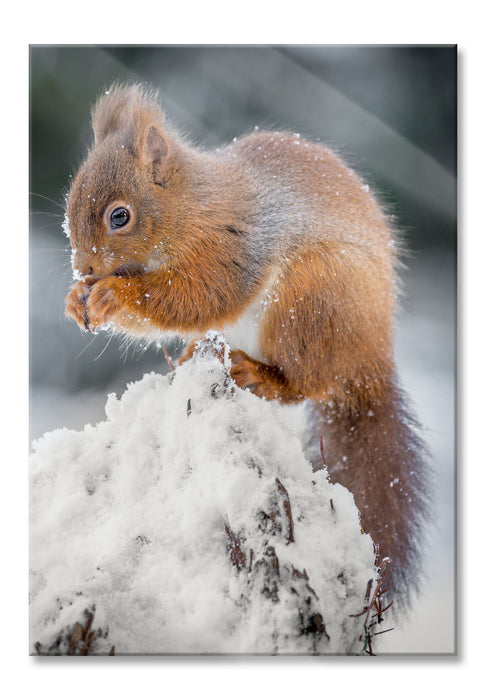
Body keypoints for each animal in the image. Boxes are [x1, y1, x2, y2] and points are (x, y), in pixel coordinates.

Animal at [63, 83, 430, 608]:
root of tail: (370, 361)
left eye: (120, 216)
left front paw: (114, 295)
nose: (85, 268)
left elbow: (196, 295)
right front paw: (77, 300)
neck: (190, 206)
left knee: (306, 384)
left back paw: (260, 375)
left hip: (309, 303)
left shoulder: (232, 247)